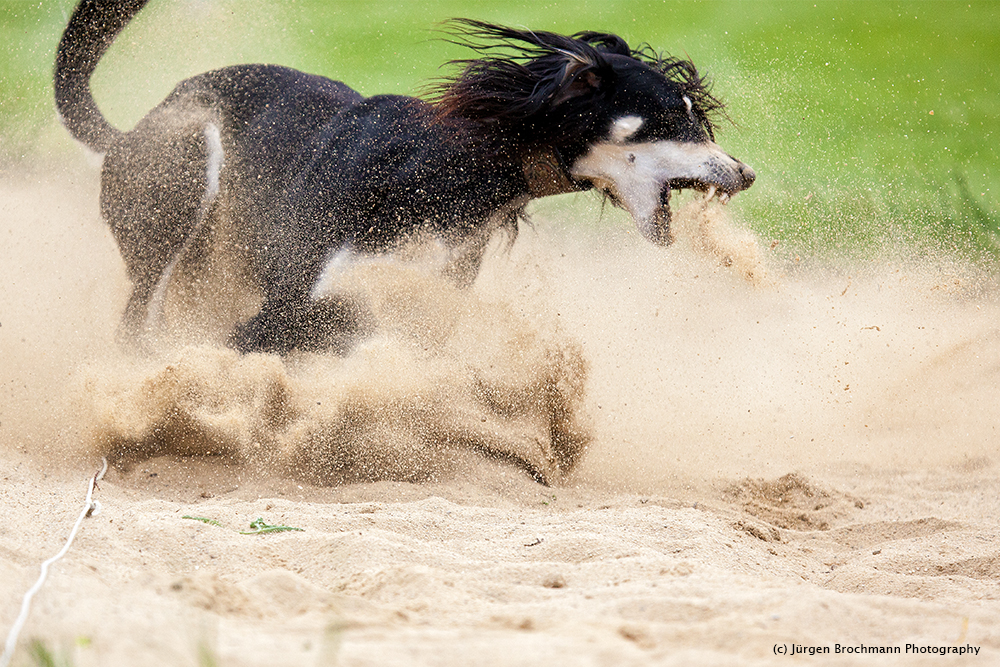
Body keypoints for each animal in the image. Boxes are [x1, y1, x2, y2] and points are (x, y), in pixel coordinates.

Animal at [52, 0, 752, 354]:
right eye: (674, 114)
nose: (744, 174)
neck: (450, 164)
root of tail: (133, 128)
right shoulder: (297, 296)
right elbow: (312, 319)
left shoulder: (428, 299)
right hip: (181, 178)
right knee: (137, 323)